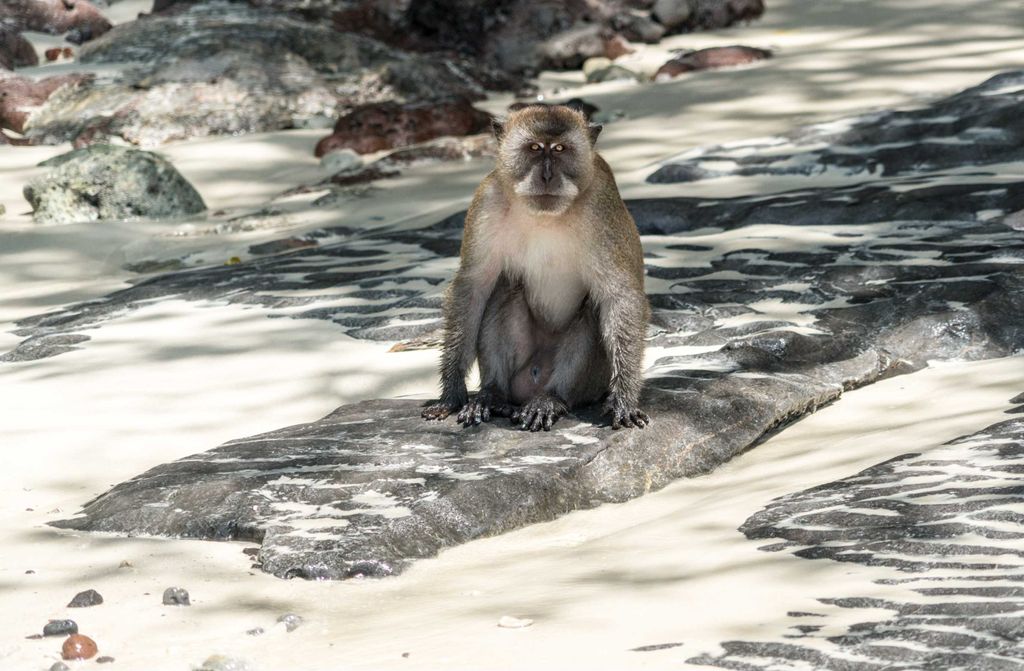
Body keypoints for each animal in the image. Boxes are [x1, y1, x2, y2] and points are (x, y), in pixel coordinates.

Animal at [421, 103, 650, 431]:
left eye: (560, 149)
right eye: (534, 148)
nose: (547, 175)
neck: (545, 216)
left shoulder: (601, 206)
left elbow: (619, 296)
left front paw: (624, 399)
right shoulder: (487, 200)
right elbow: (473, 287)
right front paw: (451, 394)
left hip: (590, 383)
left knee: (591, 309)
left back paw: (550, 399)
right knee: (505, 287)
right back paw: (492, 394)